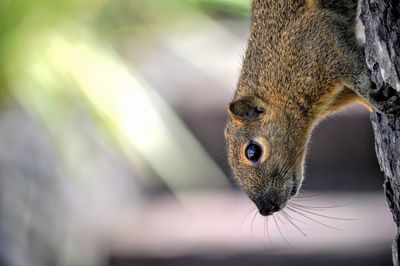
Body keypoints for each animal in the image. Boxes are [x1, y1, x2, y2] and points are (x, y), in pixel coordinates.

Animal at [225, 0, 378, 216]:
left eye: (252, 152)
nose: (265, 209)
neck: (278, 89)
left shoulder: (319, 40)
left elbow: (355, 73)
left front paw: (379, 98)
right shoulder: (341, 92)